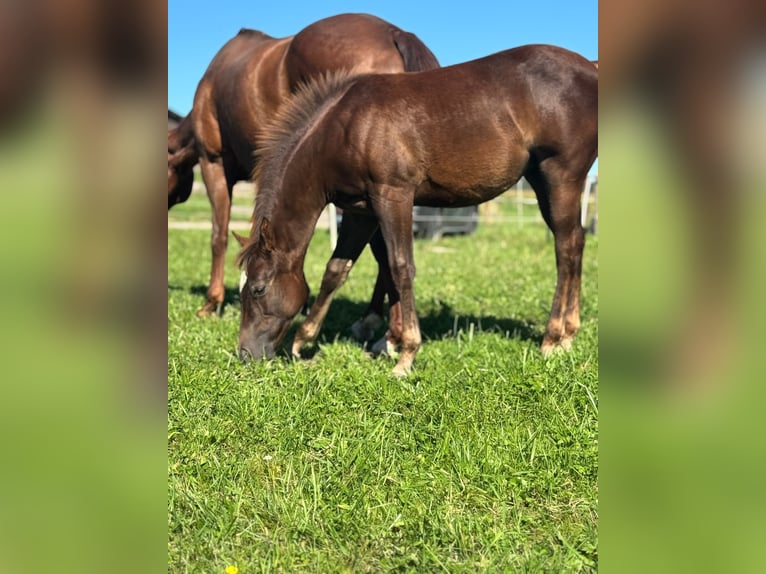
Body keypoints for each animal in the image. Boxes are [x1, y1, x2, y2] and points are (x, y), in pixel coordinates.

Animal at [236, 44, 598, 376]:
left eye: (257, 288)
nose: (245, 354)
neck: (345, 127)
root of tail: (589, 68)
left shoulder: (393, 195)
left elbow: (400, 267)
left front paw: (406, 354)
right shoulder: (361, 211)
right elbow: (338, 269)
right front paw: (305, 340)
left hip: (561, 176)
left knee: (566, 247)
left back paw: (554, 338)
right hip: (541, 181)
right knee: (576, 242)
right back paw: (568, 334)